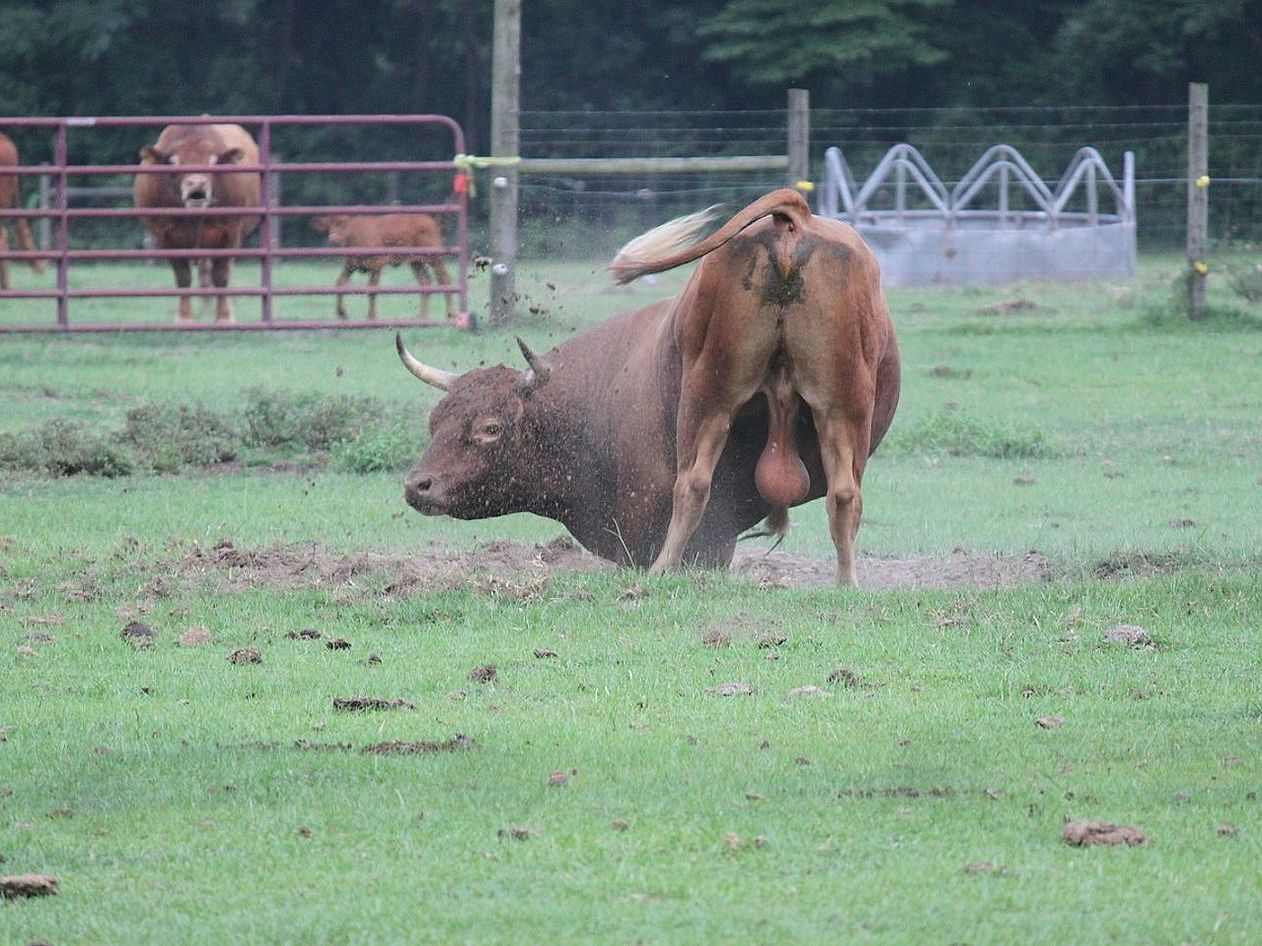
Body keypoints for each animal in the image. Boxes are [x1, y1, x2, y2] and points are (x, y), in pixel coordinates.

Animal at [132, 124, 261, 322]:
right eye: (173, 162)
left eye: (214, 161)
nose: (197, 182)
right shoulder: (166, 237)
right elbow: (183, 276)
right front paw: (184, 317)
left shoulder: (230, 233)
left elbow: (222, 276)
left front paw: (224, 317)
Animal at [311, 212, 456, 321]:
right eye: (328, 225)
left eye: (342, 223)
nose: (333, 237)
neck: (356, 234)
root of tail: (430, 220)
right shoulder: (349, 265)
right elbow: (340, 283)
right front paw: (342, 313)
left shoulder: (376, 264)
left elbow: (372, 289)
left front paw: (371, 316)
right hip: (416, 263)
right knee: (425, 282)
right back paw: (422, 317)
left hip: (435, 258)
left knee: (444, 279)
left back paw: (450, 314)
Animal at [396, 188, 901, 586]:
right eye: (435, 422)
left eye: (490, 428)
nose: (418, 485)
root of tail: (791, 224)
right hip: (823, 406)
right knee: (837, 493)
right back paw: (845, 582)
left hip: (717, 401)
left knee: (699, 485)